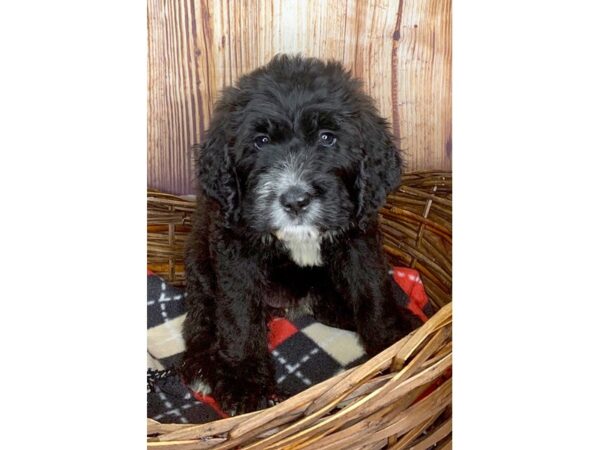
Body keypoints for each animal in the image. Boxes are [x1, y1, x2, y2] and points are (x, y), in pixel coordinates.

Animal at [180, 54, 420, 414]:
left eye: (327, 138)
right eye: (261, 141)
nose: (295, 200)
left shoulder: (358, 239)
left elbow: (372, 290)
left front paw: (391, 342)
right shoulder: (235, 250)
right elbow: (239, 314)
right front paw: (244, 383)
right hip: (200, 265)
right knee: (202, 318)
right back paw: (200, 366)